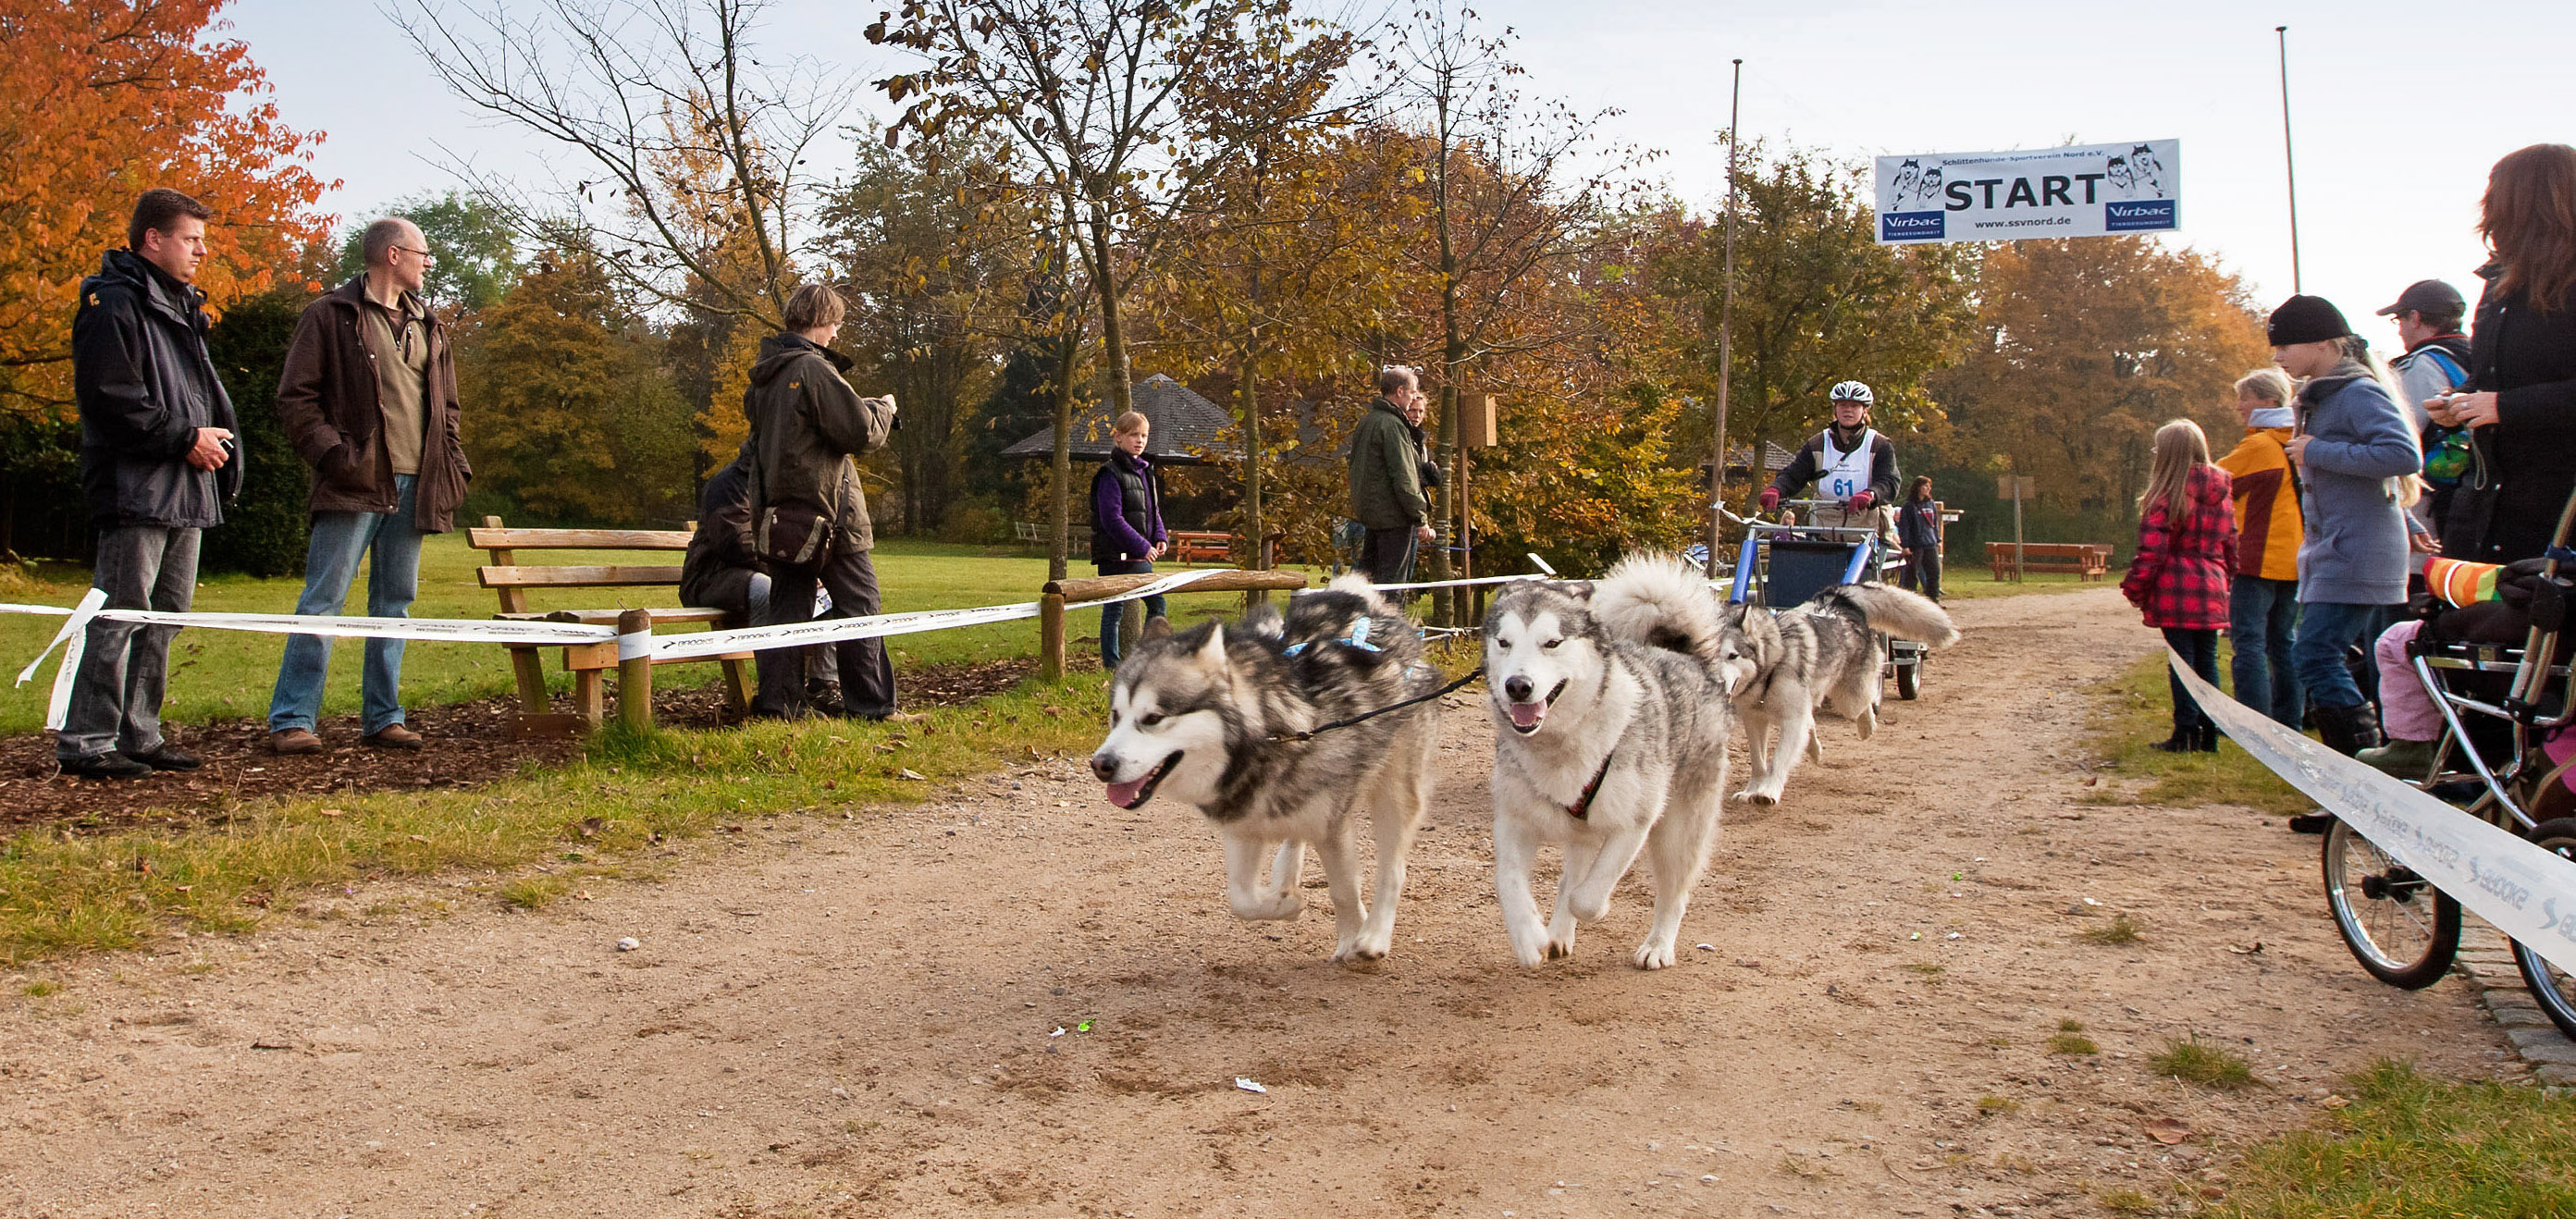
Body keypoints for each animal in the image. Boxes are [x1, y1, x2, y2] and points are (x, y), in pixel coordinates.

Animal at [1087, 574, 1452, 964]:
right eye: (1115, 715)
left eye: (1153, 718)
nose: (1101, 765)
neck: (1268, 736)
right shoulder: (1243, 825)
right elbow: (1242, 899)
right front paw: (1286, 903)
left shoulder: (1331, 825)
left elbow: (1343, 890)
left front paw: (1352, 935)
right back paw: (1286, 875)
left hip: (1394, 789)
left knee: (1392, 868)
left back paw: (1375, 935)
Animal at [1484, 554, 1741, 968]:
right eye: (1504, 642)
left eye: (1552, 642)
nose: (1518, 686)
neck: (1561, 742)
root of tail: (1689, 658)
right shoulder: (1513, 820)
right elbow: (1509, 883)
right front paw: (1529, 937)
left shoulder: (1634, 824)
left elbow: (1586, 897)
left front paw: (1595, 910)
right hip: (1583, 832)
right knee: (1571, 873)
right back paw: (1558, 934)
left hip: (1678, 830)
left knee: (1673, 894)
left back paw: (1658, 946)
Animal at [1720, 582, 1957, 804]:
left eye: (1733, 655)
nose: (1719, 683)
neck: (1773, 662)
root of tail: (1837, 599)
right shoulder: (1754, 719)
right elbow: (1758, 762)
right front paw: (1752, 789)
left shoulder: (1792, 719)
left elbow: (1777, 760)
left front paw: (1768, 791)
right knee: (1811, 719)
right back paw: (1815, 747)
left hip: (1848, 698)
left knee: (1864, 702)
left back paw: (1867, 726)